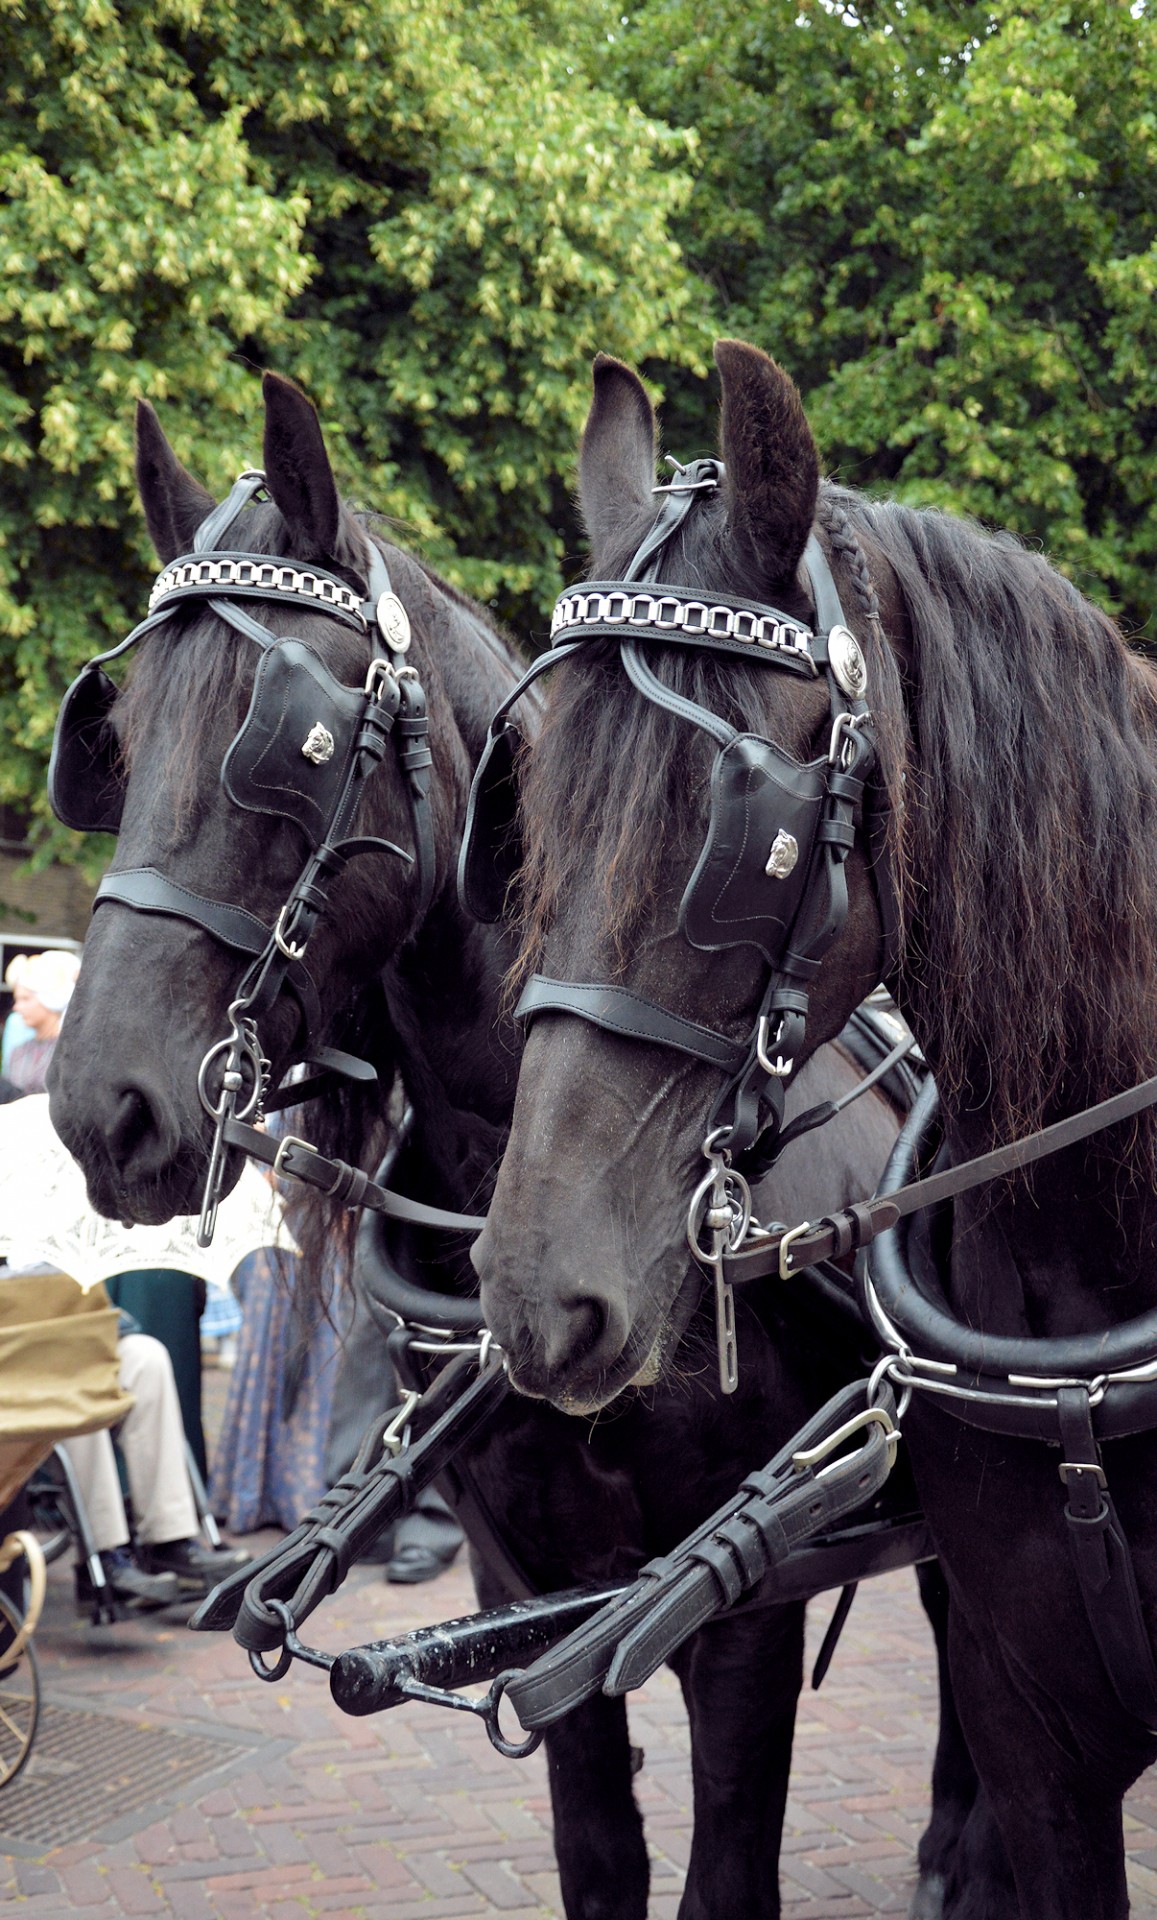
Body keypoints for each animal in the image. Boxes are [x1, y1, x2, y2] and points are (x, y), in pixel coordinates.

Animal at [45, 374, 967, 1920]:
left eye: (296, 745)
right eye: (115, 736)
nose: (96, 1109)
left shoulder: (732, 1599)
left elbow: (724, 1867)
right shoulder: (509, 1566)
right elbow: (596, 1851)